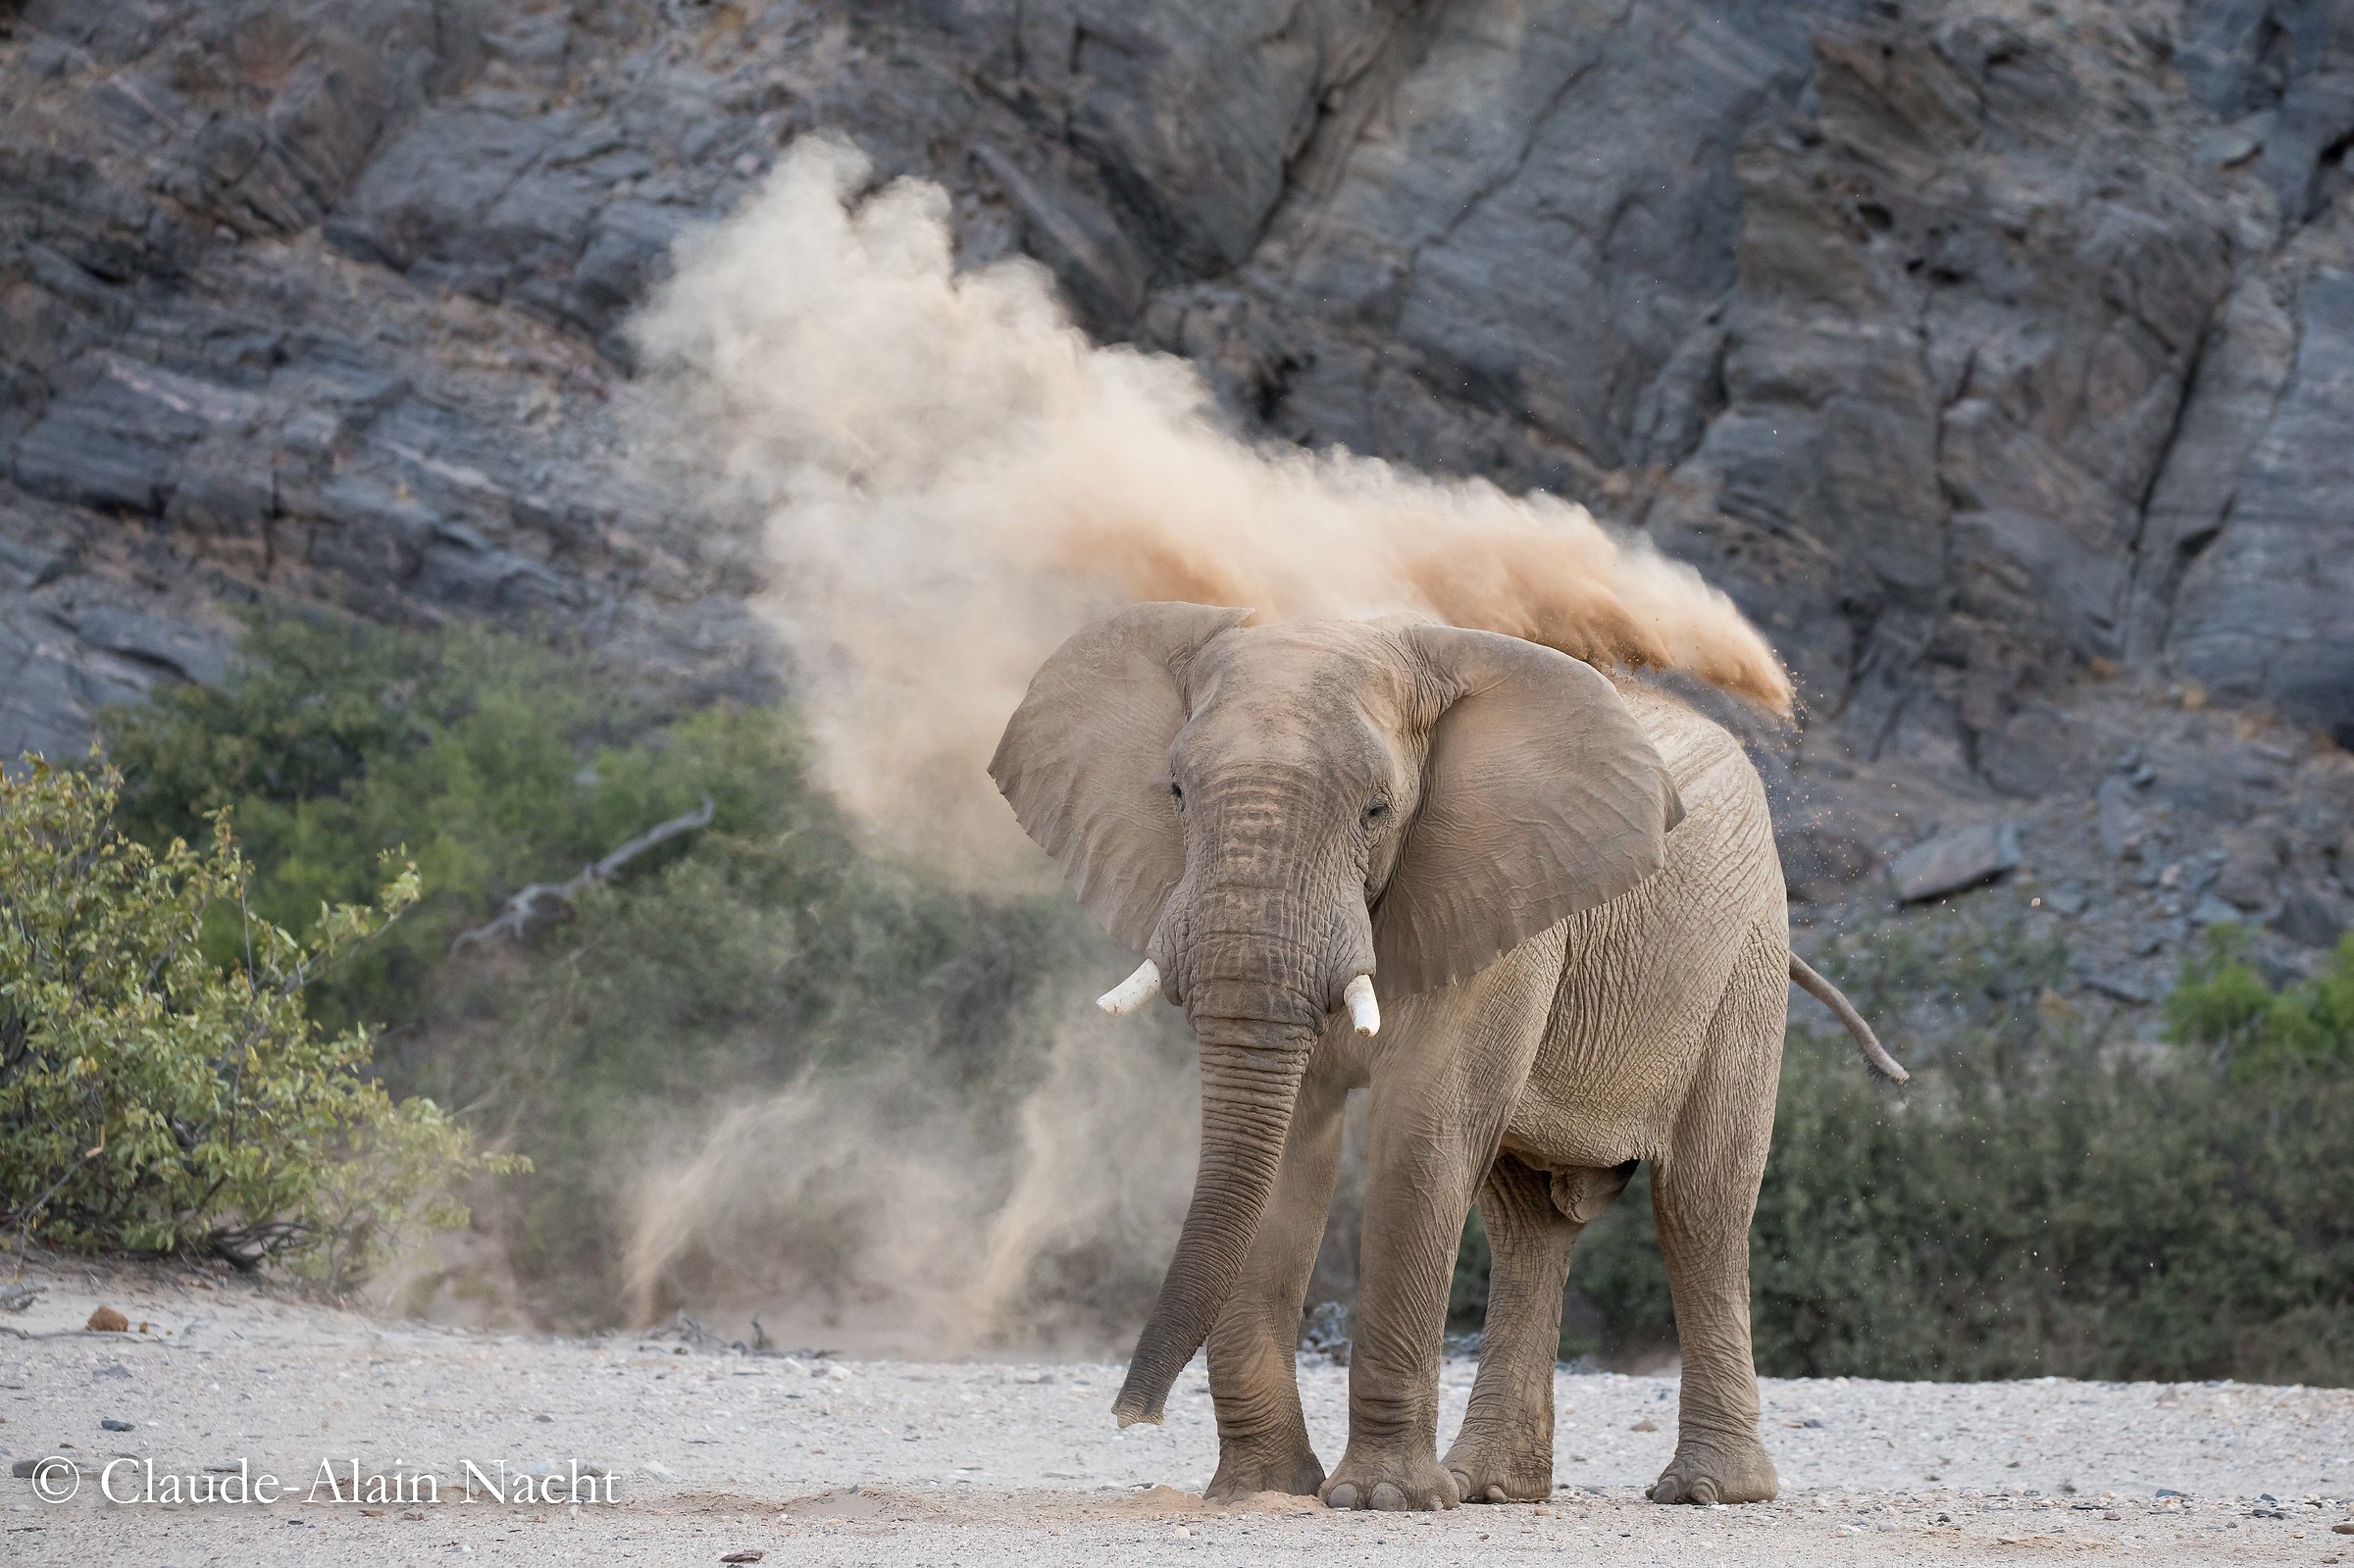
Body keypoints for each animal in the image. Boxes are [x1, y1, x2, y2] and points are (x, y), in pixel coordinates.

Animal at [990, 604, 1902, 1512]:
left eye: (1376, 810)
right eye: (1176, 792)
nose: (1130, 1416)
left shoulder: (1497, 888)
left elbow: (1421, 1129)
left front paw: (1381, 1500)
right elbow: (1290, 1144)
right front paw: (1265, 1492)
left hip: (1744, 956)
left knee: (1701, 1205)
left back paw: (1708, 1490)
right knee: (1528, 1224)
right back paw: (1492, 1486)